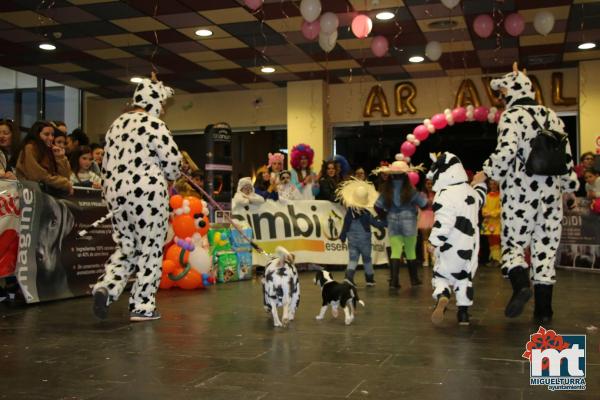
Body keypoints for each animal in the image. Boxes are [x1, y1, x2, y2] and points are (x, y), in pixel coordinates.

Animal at [92, 76, 182, 322]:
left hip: (124, 231)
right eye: (161, 85)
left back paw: (101, 296)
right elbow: (172, 160)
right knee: (148, 264)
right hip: (152, 229)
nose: (172, 90)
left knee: (122, 259)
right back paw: (144, 309)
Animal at [426, 152, 488, 324]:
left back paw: (440, 307)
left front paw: (432, 244)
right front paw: (480, 180)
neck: (456, 183)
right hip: (466, 273)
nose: (426, 175)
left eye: (433, 167)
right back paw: (463, 316)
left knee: (442, 288)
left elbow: (443, 224)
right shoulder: (476, 197)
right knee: (465, 291)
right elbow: (481, 195)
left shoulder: (443, 203)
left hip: (442, 270)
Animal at [480, 62, 580, 324]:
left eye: (504, 77)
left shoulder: (506, 125)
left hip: (515, 222)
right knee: (544, 269)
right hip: (549, 221)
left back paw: (520, 297)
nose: (493, 82)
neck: (526, 102)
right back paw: (542, 312)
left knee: (513, 253)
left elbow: (503, 154)